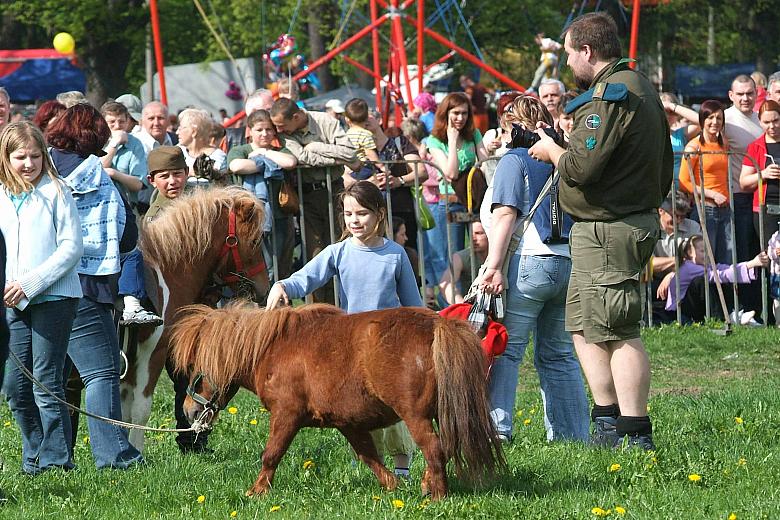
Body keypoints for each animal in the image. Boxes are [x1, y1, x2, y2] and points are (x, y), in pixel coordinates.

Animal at [119, 185, 270, 448]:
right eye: (255, 240)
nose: (265, 288)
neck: (165, 269)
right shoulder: (152, 353)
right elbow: (139, 411)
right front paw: (136, 451)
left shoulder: (132, 357)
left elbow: (123, 411)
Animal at [171, 304, 506, 500]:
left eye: (196, 369)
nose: (188, 411)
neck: (272, 347)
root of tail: (436, 325)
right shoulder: (348, 424)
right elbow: (370, 457)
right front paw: (392, 487)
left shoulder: (286, 415)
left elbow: (271, 454)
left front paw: (257, 491)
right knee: (446, 446)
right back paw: (426, 485)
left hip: (416, 416)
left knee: (435, 449)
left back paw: (437, 496)